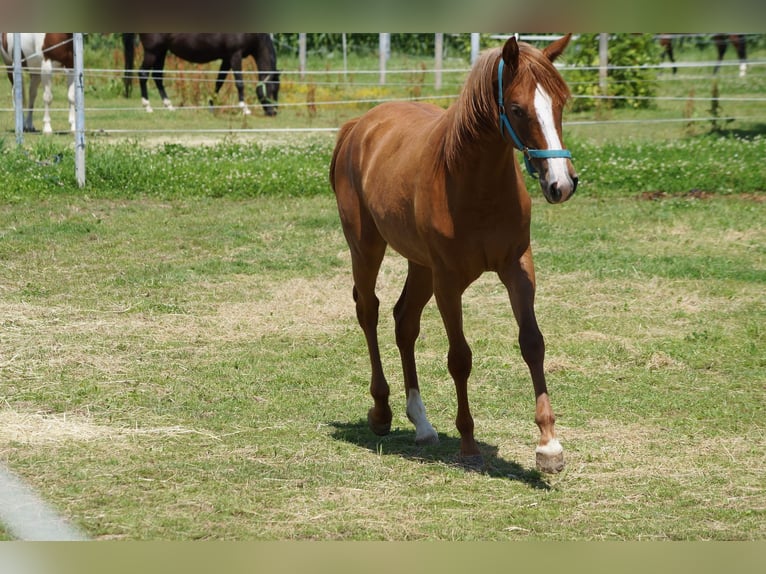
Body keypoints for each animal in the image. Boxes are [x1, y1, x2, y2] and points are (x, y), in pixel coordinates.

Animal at [124, 33, 280, 116]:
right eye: (272, 89)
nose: (273, 112)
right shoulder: (235, 55)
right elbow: (239, 83)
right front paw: (245, 108)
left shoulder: (226, 58)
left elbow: (219, 82)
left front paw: (212, 104)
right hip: (152, 52)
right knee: (143, 74)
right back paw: (147, 106)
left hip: (161, 51)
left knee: (157, 76)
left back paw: (169, 105)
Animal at [332, 37, 580, 476]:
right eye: (517, 109)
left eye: (560, 103)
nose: (561, 183)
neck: (473, 182)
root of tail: (358, 126)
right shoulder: (448, 281)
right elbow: (460, 357)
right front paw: (468, 444)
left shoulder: (518, 267)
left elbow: (532, 342)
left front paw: (549, 445)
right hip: (366, 247)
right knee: (369, 311)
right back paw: (381, 412)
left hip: (420, 265)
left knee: (404, 321)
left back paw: (422, 422)